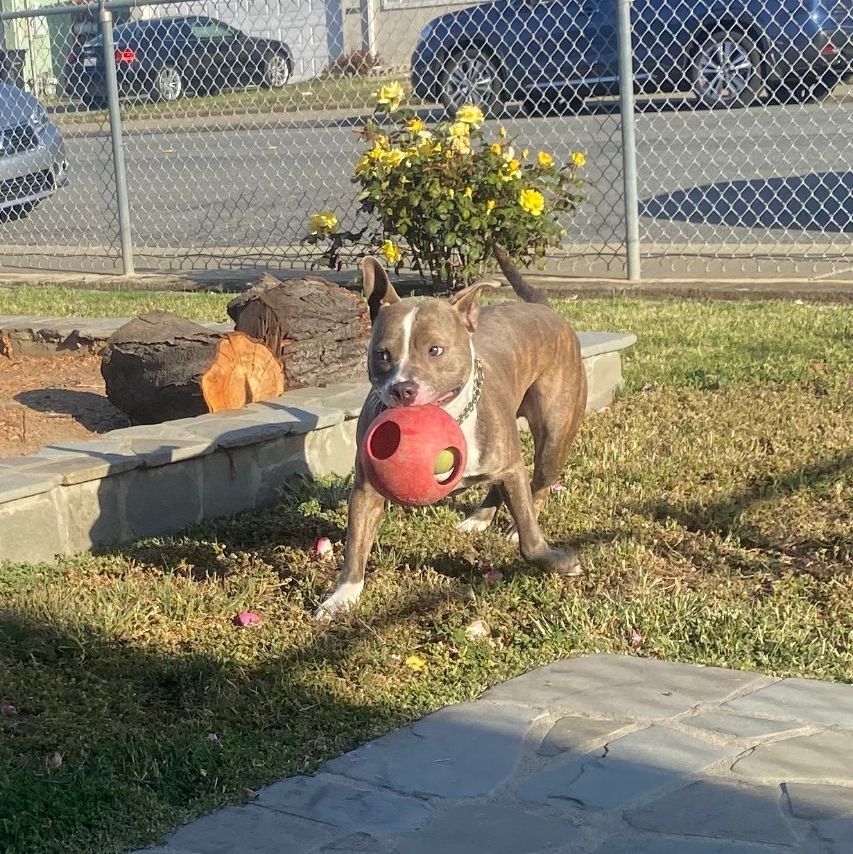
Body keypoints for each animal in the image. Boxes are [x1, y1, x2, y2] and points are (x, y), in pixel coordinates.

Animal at [314, 256, 584, 620]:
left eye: (435, 350)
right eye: (383, 354)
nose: (403, 388)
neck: (452, 417)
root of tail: (544, 309)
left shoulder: (512, 466)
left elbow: (531, 538)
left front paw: (557, 561)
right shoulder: (366, 490)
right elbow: (356, 544)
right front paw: (343, 595)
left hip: (554, 436)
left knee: (539, 486)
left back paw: (512, 526)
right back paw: (480, 519)